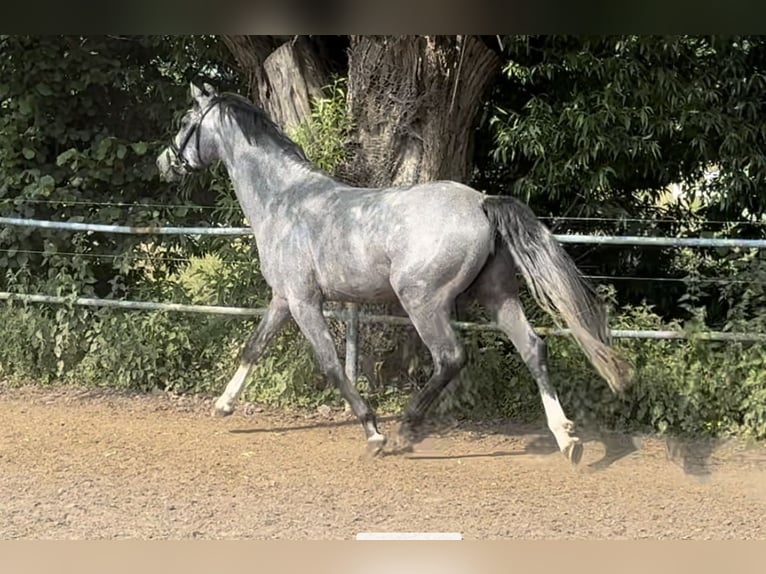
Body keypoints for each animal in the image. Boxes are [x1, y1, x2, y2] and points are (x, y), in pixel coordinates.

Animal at [156, 81, 636, 466]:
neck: (285, 200)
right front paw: (223, 406)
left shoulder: (306, 302)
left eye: (185, 120)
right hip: (497, 295)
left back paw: (407, 428)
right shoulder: (283, 299)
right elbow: (253, 347)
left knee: (451, 357)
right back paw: (567, 439)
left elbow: (332, 365)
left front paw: (374, 433)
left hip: (422, 301)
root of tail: (482, 202)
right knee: (533, 348)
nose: (164, 162)